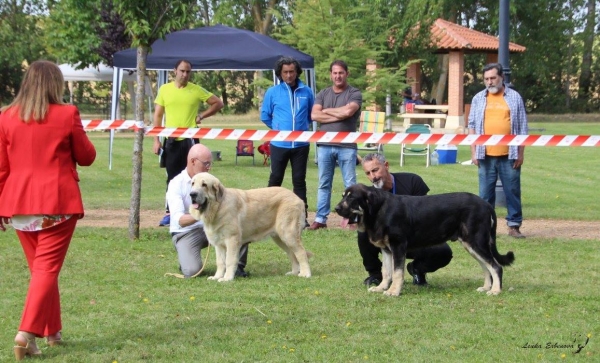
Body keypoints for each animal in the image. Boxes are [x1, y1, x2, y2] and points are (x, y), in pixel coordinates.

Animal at [336, 183, 512, 298]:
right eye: (343, 196)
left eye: (352, 198)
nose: (336, 209)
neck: (379, 210)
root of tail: (487, 204)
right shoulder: (386, 250)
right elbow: (386, 272)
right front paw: (381, 288)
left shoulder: (398, 246)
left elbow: (397, 272)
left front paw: (393, 291)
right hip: (470, 244)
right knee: (486, 267)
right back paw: (486, 287)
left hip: (476, 242)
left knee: (496, 266)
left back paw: (495, 290)